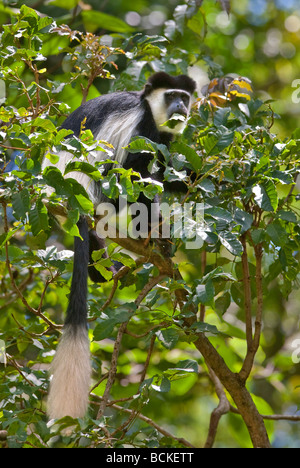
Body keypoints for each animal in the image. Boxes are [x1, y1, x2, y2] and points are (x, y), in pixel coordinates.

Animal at [43, 72, 196, 420]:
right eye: (171, 96)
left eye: (184, 97)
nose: (180, 106)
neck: (149, 108)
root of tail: (65, 194)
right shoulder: (141, 127)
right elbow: (139, 169)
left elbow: (166, 167)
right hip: (98, 186)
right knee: (130, 171)